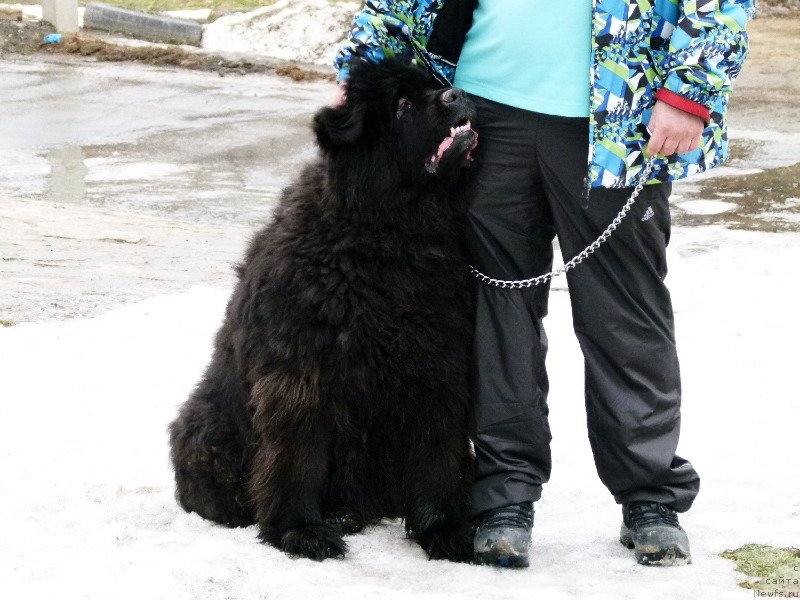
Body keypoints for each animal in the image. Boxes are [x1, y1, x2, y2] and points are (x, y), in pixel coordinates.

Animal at [169, 59, 478, 564]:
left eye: (433, 84)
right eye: (402, 105)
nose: (457, 94)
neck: (390, 237)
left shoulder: (438, 367)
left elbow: (438, 456)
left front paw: (445, 530)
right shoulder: (300, 376)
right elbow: (297, 457)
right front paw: (299, 531)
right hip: (204, 424)